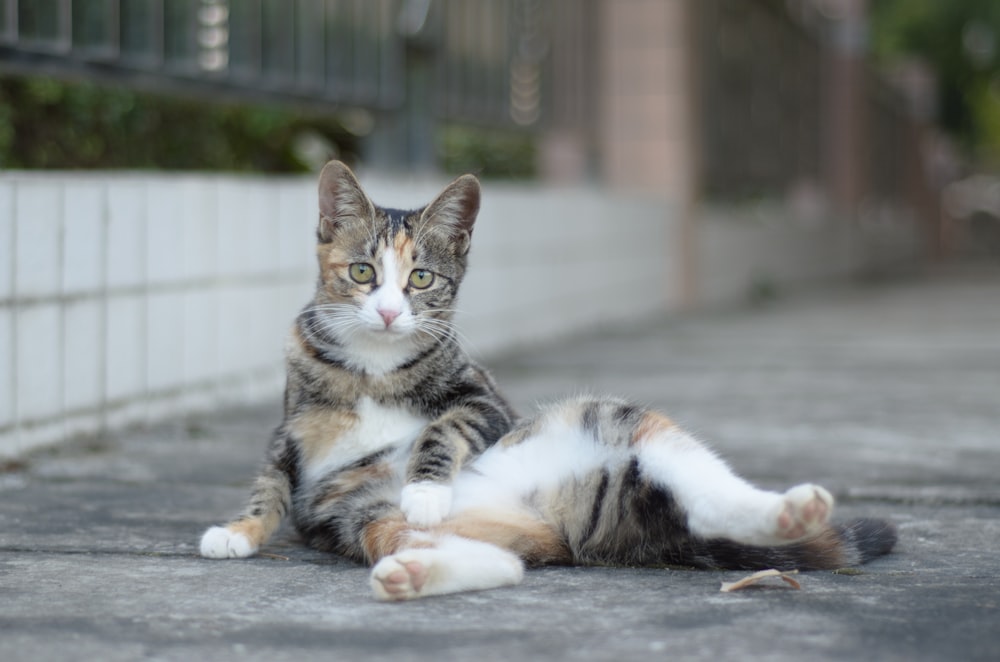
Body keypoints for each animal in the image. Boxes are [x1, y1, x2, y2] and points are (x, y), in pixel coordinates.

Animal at [199, 161, 896, 600]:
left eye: (421, 278)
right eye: (364, 272)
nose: (391, 312)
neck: (373, 364)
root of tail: (553, 524)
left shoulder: (486, 399)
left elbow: (446, 424)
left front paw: (425, 486)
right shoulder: (291, 423)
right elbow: (271, 483)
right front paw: (238, 531)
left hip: (603, 418)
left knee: (701, 489)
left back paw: (792, 511)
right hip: (362, 513)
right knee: (502, 564)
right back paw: (412, 575)